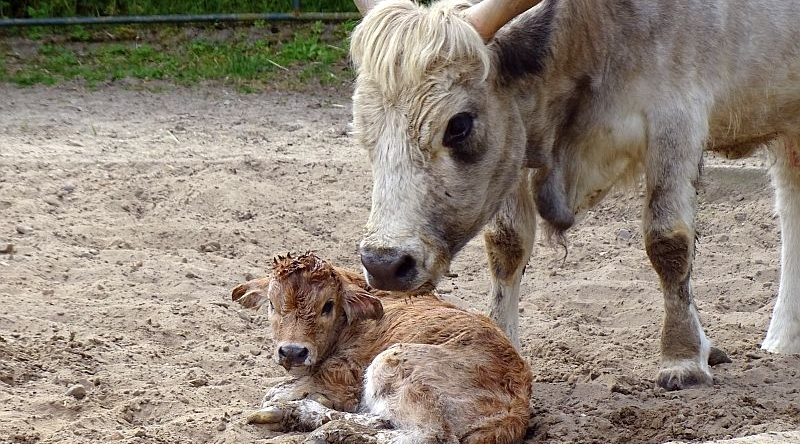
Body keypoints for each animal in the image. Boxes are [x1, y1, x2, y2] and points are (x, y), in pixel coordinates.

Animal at [350, 0, 800, 390]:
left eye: (458, 125)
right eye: (362, 126)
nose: (384, 264)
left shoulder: (676, 121)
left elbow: (667, 242)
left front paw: (683, 357)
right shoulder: (515, 141)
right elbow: (506, 245)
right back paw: (784, 338)